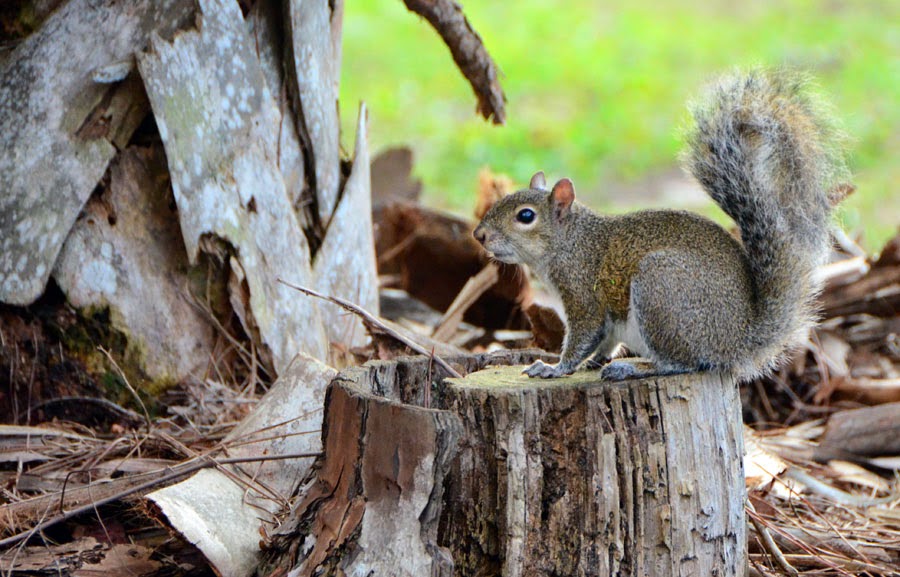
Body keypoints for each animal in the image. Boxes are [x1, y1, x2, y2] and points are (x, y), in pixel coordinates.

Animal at [473, 69, 850, 381]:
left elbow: (583, 336)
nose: (479, 235)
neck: (570, 242)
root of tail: (739, 341)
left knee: (682, 363)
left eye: (525, 216)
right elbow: (605, 341)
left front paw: (555, 368)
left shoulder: (583, 294)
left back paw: (635, 368)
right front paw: (595, 361)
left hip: (660, 289)